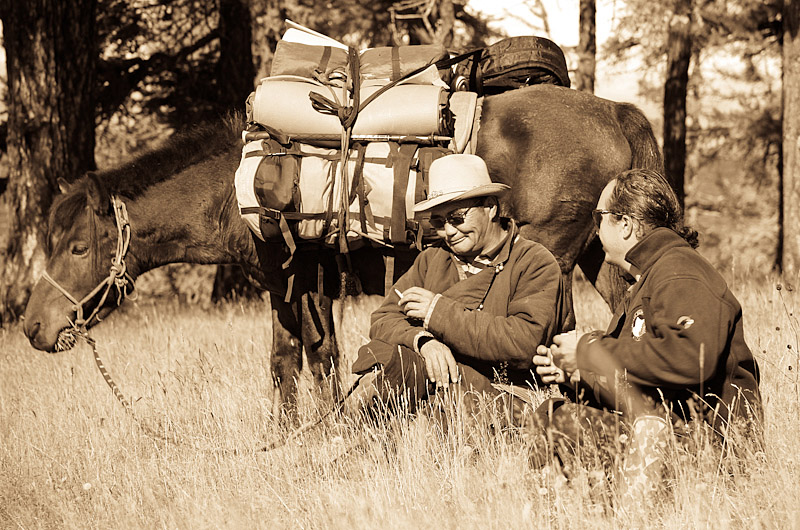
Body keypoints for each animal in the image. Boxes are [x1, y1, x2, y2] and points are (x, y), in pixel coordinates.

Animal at [22, 84, 663, 413]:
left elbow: (311, 358)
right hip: (600, 257)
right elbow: (294, 360)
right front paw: (288, 432)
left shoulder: (295, 280)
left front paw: (319, 432)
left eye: (77, 248)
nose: (33, 326)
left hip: (552, 253)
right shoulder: (297, 285)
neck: (235, 188)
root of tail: (615, 110)